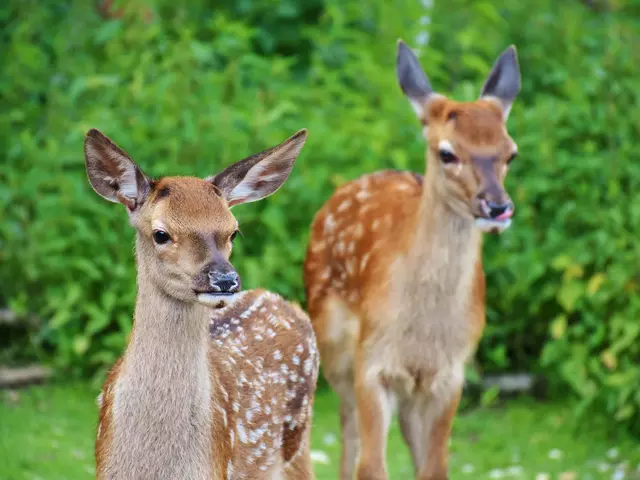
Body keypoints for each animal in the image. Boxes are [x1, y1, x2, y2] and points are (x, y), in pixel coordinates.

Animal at [304, 41, 520, 480]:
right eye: (447, 153)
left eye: (511, 153)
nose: (497, 207)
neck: (422, 332)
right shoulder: (373, 362)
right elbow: (371, 466)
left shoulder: (450, 374)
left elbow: (435, 467)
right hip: (333, 344)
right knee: (348, 431)